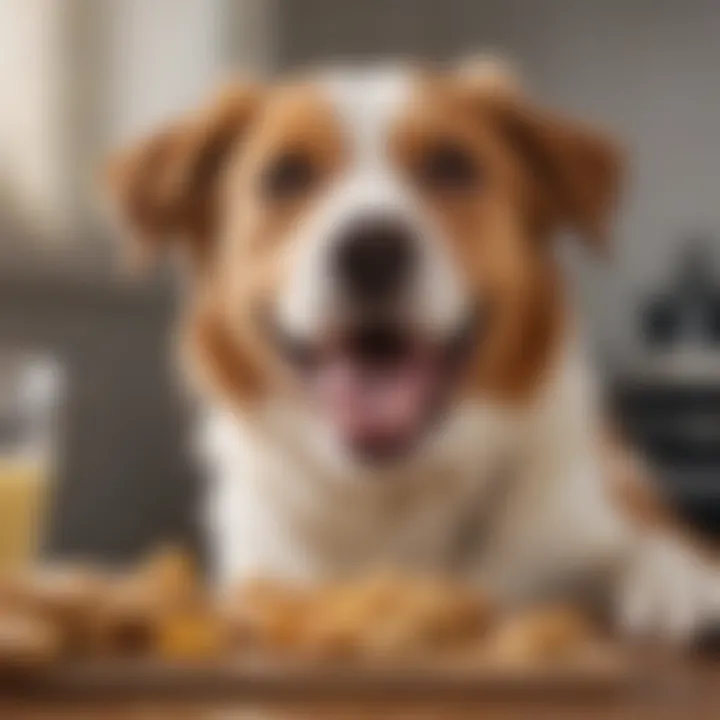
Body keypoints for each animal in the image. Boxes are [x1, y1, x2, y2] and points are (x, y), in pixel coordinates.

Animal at [107, 57, 720, 640]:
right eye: (286, 174)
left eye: (451, 164)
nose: (371, 250)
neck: (392, 497)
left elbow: (652, 547)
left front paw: (680, 583)